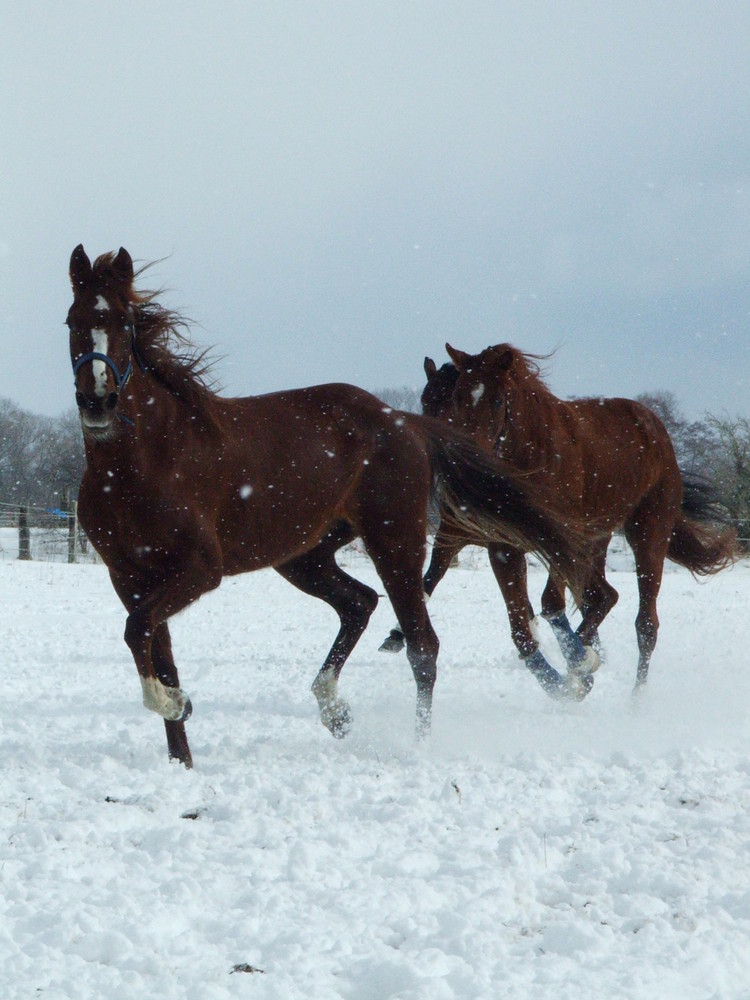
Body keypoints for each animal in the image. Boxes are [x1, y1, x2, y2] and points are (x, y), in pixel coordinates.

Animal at [66, 248, 592, 764]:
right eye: (72, 320)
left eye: (124, 324)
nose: (98, 401)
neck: (143, 464)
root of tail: (404, 421)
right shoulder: (129, 577)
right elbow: (157, 649)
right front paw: (181, 753)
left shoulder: (199, 570)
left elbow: (138, 631)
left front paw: (175, 704)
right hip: (305, 555)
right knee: (360, 603)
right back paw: (335, 710)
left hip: (393, 542)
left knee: (421, 644)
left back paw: (418, 744)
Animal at [384, 344, 736, 696]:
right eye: (452, 398)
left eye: (496, 401)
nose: (459, 455)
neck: (532, 455)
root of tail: (654, 427)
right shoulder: (497, 545)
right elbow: (516, 624)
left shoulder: (557, 536)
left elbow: (551, 603)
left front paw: (578, 664)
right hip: (596, 541)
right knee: (602, 597)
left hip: (648, 533)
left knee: (645, 623)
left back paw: (633, 697)